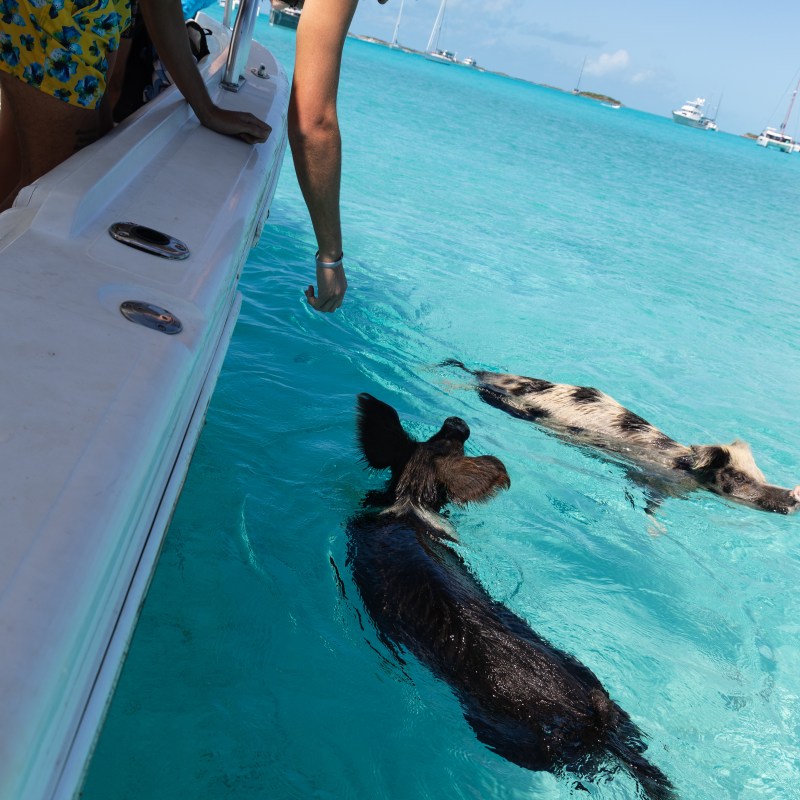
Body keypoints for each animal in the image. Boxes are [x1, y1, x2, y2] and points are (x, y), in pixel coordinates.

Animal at [347, 392, 676, 799]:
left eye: (454, 440)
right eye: (441, 437)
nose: (457, 423)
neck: (410, 503)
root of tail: (590, 715)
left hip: (521, 744)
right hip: (613, 711)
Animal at [442, 360, 800, 515]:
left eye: (760, 474)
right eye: (737, 478)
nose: (793, 497)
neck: (680, 465)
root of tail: (487, 374)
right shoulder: (651, 478)